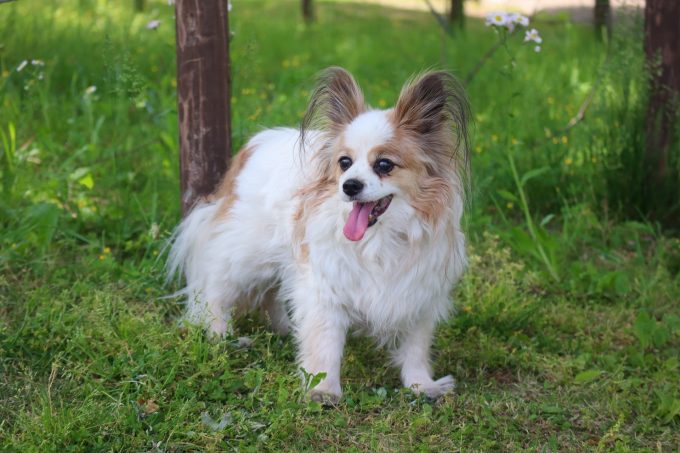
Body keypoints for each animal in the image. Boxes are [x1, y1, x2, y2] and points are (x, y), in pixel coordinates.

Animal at [167, 66, 470, 400]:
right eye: (345, 163)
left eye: (384, 165)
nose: (349, 185)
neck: (379, 239)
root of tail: (254, 145)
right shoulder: (325, 288)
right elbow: (325, 345)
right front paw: (323, 391)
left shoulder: (418, 295)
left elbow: (416, 347)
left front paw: (421, 386)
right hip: (245, 257)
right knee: (216, 289)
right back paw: (220, 335)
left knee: (271, 294)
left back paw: (284, 329)